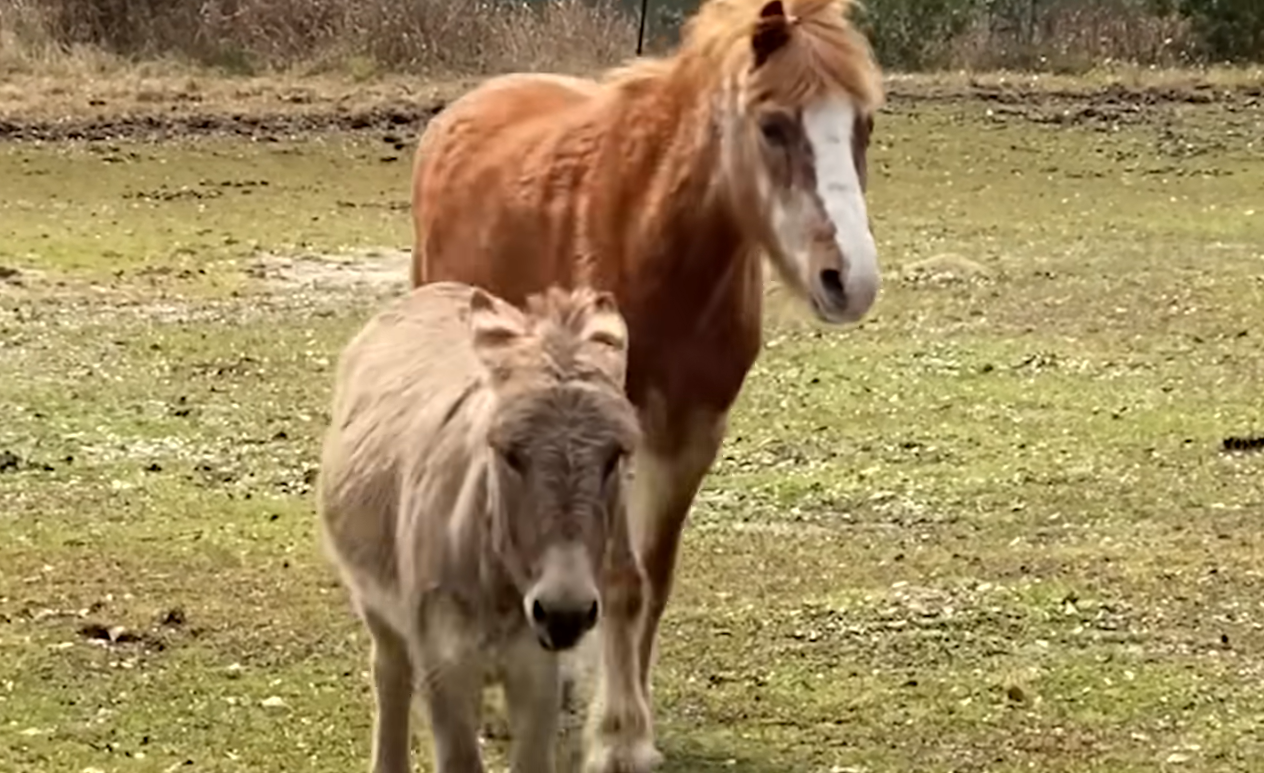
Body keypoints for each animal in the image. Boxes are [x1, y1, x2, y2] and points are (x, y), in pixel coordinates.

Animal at [317, 281, 644, 773]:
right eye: (507, 452)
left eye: (615, 456)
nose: (564, 611)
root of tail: (438, 288)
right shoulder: (443, 665)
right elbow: (458, 757)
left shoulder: (536, 672)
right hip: (377, 606)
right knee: (390, 673)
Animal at [409, 0, 885, 767]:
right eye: (773, 125)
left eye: (864, 123)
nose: (851, 279)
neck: (656, 243)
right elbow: (620, 577)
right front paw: (619, 736)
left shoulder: (692, 433)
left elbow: (653, 580)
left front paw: (626, 715)